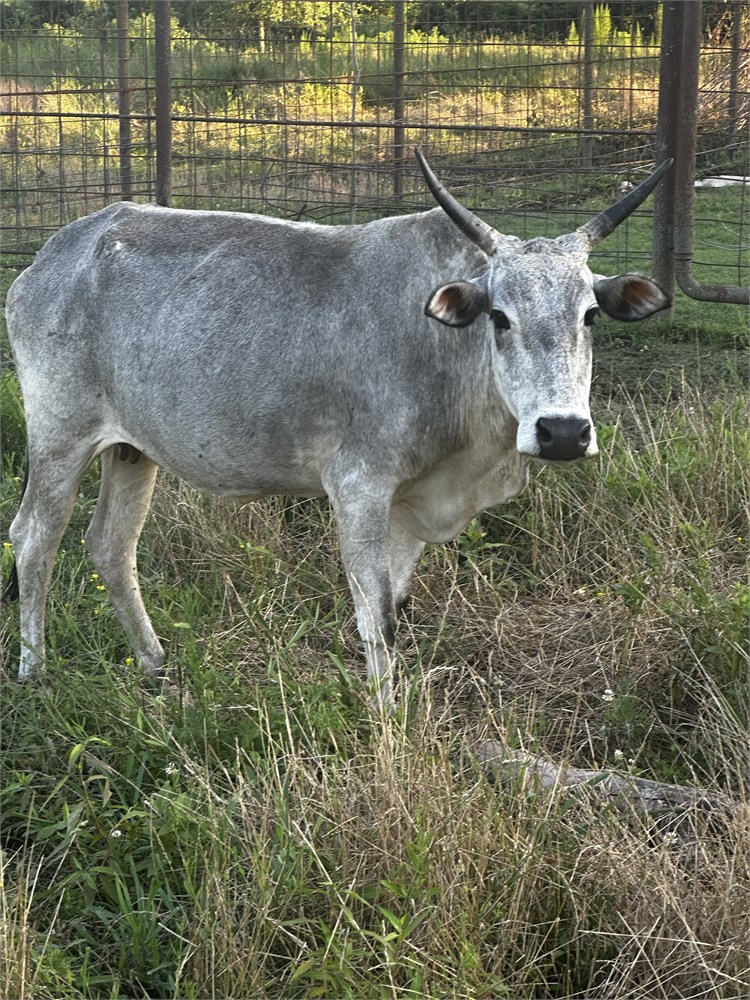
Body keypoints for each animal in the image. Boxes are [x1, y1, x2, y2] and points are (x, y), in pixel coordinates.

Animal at [3, 149, 671, 706]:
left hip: (130, 450)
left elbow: (395, 603)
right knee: (35, 537)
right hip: (61, 437)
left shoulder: (408, 506)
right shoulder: (358, 487)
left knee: (111, 545)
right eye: (500, 318)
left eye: (590, 315)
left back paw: (154, 664)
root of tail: (53, 253)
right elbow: (378, 616)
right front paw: (387, 722)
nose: (563, 431)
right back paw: (35, 671)